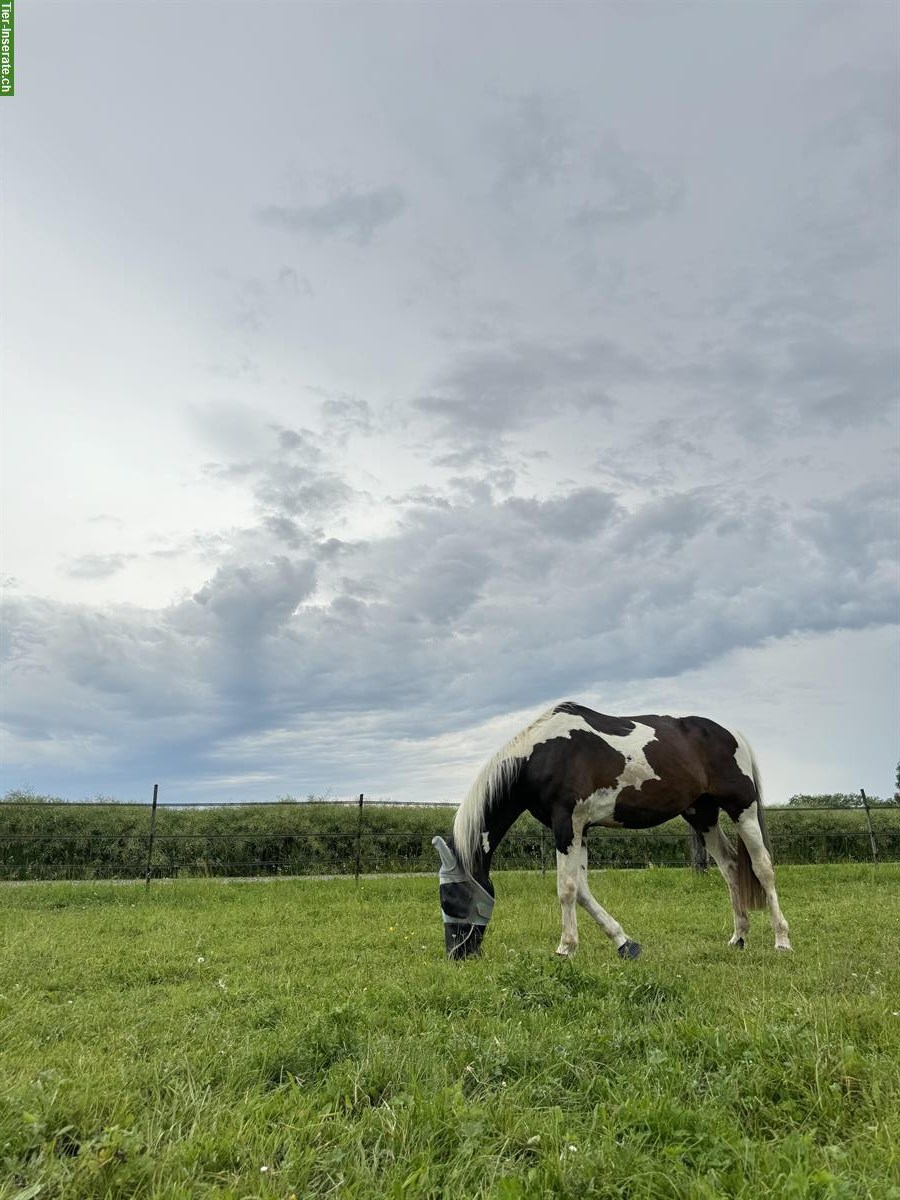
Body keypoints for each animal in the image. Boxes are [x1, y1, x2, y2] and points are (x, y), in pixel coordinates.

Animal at [434, 700, 792, 960]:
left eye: (449, 897)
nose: (457, 954)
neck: (543, 753)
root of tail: (732, 734)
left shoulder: (567, 824)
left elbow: (566, 888)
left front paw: (565, 948)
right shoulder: (581, 830)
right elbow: (582, 890)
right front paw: (624, 943)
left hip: (742, 810)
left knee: (763, 868)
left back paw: (782, 940)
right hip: (702, 816)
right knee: (730, 867)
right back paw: (738, 937)